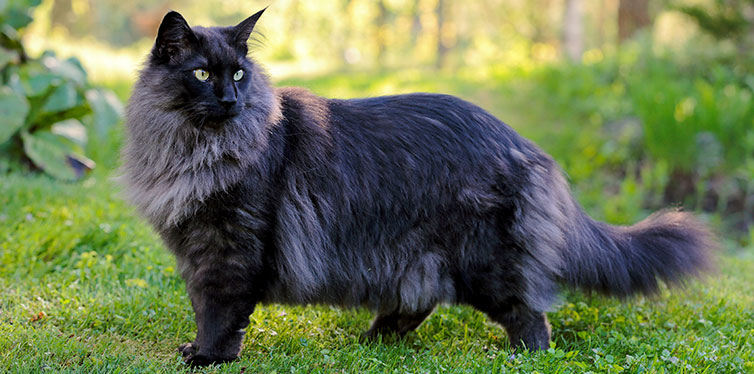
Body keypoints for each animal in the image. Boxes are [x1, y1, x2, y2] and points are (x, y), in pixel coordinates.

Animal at [120, 8, 712, 366]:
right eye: (202, 74)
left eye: (239, 74)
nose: (230, 99)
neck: (198, 149)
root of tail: (523, 143)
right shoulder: (198, 248)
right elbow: (207, 307)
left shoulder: (228, 248)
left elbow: (218, 312)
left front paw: (207, 357)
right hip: (413, 257)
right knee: (416, 303)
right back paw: (370, 343)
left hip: (485, 261)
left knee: (530, 315)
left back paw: (521, 359)